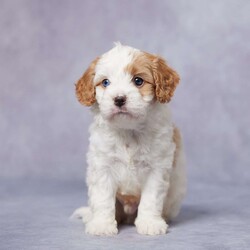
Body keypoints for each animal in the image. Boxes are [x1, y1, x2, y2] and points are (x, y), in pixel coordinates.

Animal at [73, 43, 187, 236]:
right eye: (105, 82)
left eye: (138, 81)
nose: (119, 99)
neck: (128, 130)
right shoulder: (102, 167)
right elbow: (103, 198)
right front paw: (102, 225)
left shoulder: (157, 168)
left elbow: (151, 199)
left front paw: (150, 223)